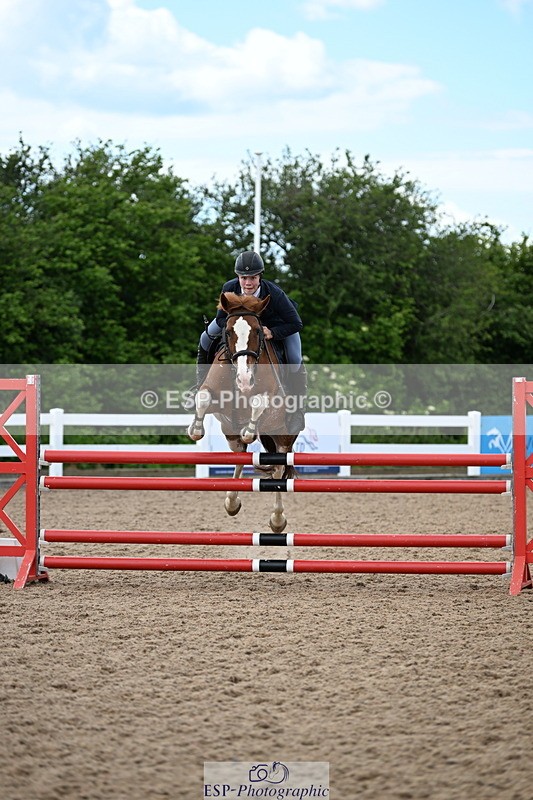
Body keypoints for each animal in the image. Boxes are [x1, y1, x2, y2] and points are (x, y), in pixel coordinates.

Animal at [187, 292, 298, 533]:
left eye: (257, 331)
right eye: (228, 332)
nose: (245, 380)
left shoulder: (270, 398)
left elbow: (257, 402)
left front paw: (250, 430)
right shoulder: (214, 395)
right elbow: (203, 398)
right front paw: (196, 429)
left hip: (283, 437)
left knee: (278, 471)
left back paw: (277, 520)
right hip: (230, 431)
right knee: (239, 457)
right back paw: (231, 503)